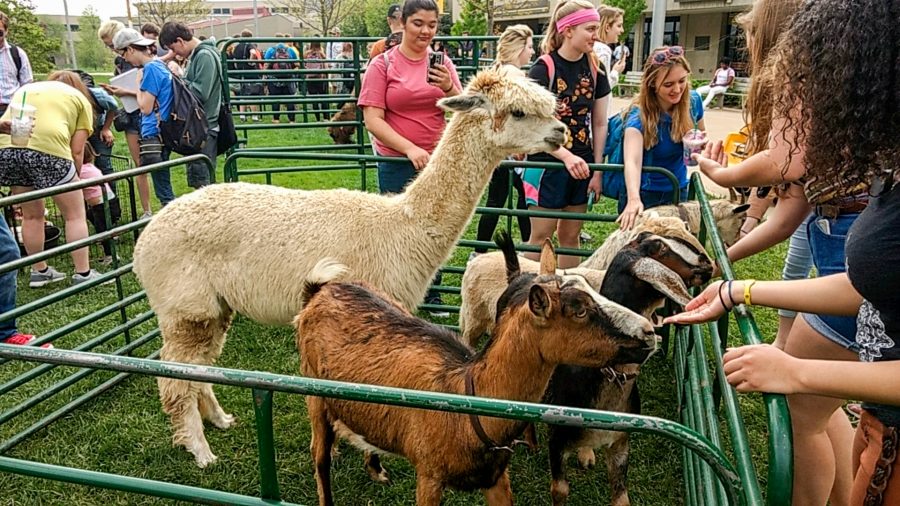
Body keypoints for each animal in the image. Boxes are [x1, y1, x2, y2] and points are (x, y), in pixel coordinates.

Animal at [132, 65, 568, 468]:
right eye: (518, 112)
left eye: (548, 106)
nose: (561, 132)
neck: (402, 226)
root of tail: (144, 240)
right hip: (186, 305)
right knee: (174, 376)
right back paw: (201, 451)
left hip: (211, 307)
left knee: (196, 367)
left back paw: (220, 420)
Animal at [298, 236, 656, 506]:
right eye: (579, 310)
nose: (649, 332)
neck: (469, 396)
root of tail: (319, 290)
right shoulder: (429, 476)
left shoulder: (496, 478)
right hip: (313, 392)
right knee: (319, 457)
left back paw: (376, 469)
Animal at [540, 232, 712, 506]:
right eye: (660, 248)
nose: (708, 264)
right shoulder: (556, 440)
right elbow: (559, 490)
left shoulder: (621, 443)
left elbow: (621, 498)